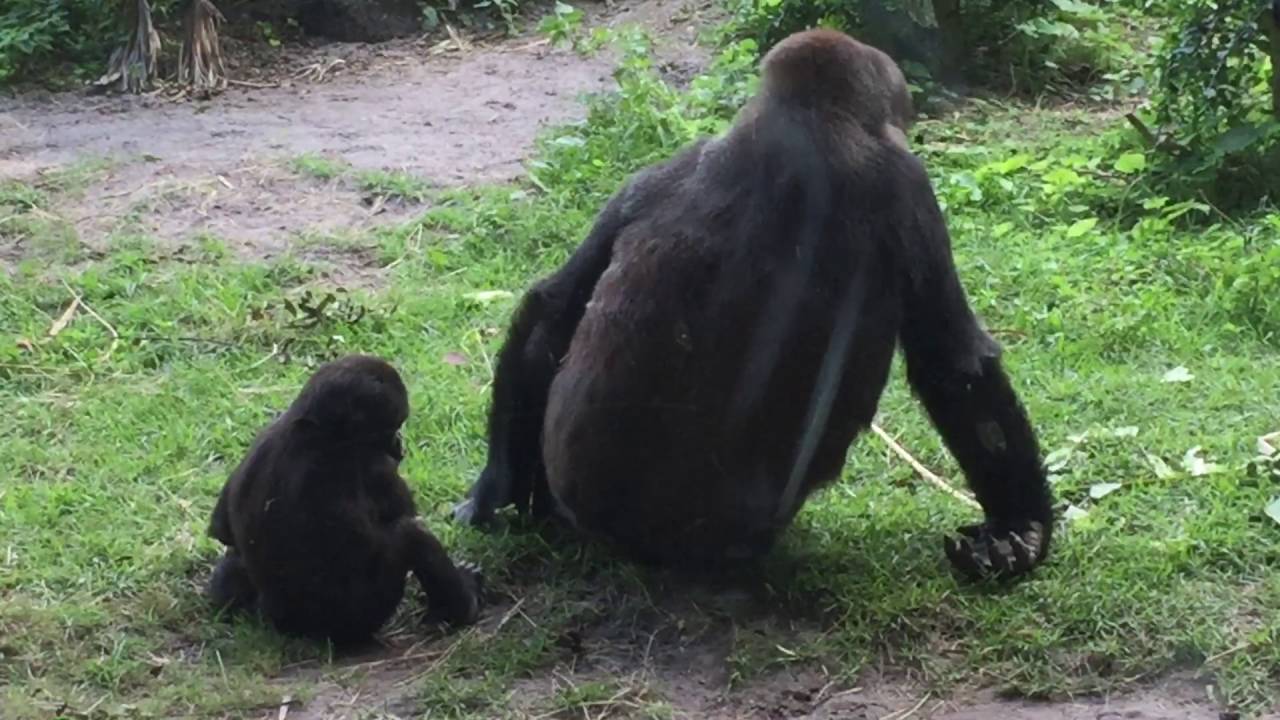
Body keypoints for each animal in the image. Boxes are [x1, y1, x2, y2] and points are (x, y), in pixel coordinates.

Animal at [208, 355, 482, 642]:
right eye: (390, 428)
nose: (399, 444)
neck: (310, 429)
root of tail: (283, 626)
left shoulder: (263, 437)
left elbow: (222, 532)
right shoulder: (376, 467)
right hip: (354, 624)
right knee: (413, 535)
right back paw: (463, 606)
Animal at [454, 29, 1054, 580]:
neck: (803, 118)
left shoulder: (661, 170)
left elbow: (553, 307)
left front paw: (494, 488)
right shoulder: (906, 184)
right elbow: (954, 363)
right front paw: (1020, 529)